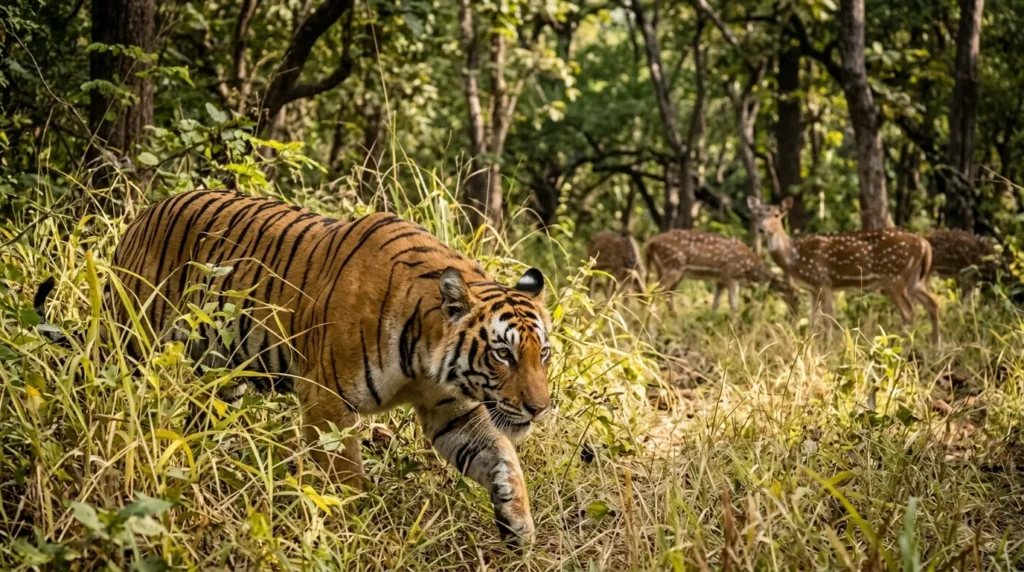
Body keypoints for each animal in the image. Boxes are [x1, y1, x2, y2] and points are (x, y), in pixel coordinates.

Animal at [36, 189, 553, 542]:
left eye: (542, 353)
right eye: (502, 354)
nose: (540, 409)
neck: (425, 358)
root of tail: (146, 212)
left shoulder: (453, 411)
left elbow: (502, 455)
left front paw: (519, 524)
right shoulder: (329, 401)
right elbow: (346, 477)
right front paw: (351, 532)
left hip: (220, 375)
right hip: (127, 339)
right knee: (91, 381)